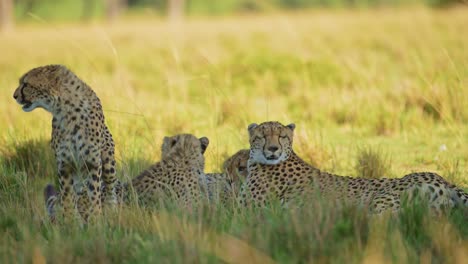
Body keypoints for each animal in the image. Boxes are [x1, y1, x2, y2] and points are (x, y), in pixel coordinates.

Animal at [14, 65, 119, 222]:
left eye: (26, 84)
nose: (14, 96)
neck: (66, 109)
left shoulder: (92, 162)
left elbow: (94, 193)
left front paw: (96, 219)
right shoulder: (65, 164)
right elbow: (68, 195)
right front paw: (71, 221)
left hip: (108, 163)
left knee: (110, 188)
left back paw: (111, 210)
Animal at [239, 120, 466, 213]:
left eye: (281, 136)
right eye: (262, 136)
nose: (273, 149)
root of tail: (439, 177)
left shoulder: (248, 213)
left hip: (380, 201)